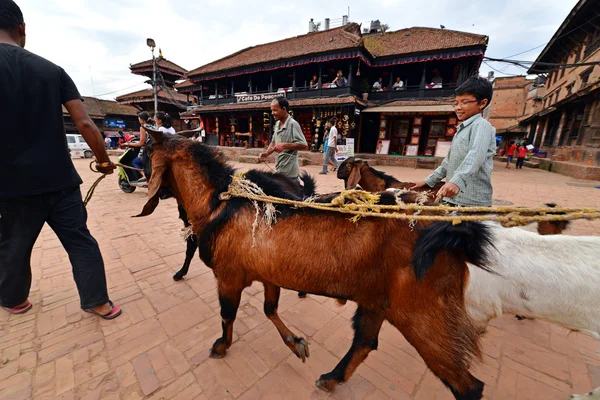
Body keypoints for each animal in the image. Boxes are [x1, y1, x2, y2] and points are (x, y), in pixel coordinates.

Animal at [139, 129, 492, 400]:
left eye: (146, 149)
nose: (135, 169)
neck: (220, 202)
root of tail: (450, 231)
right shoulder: (269, 274)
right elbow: (269, 309)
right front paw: (297, 344)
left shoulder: (228, 277)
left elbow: (228, 315)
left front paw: (221, 346)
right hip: (377, 300)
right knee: (365, 342)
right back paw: (330, 378)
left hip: (424, 316)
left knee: (467, 385)